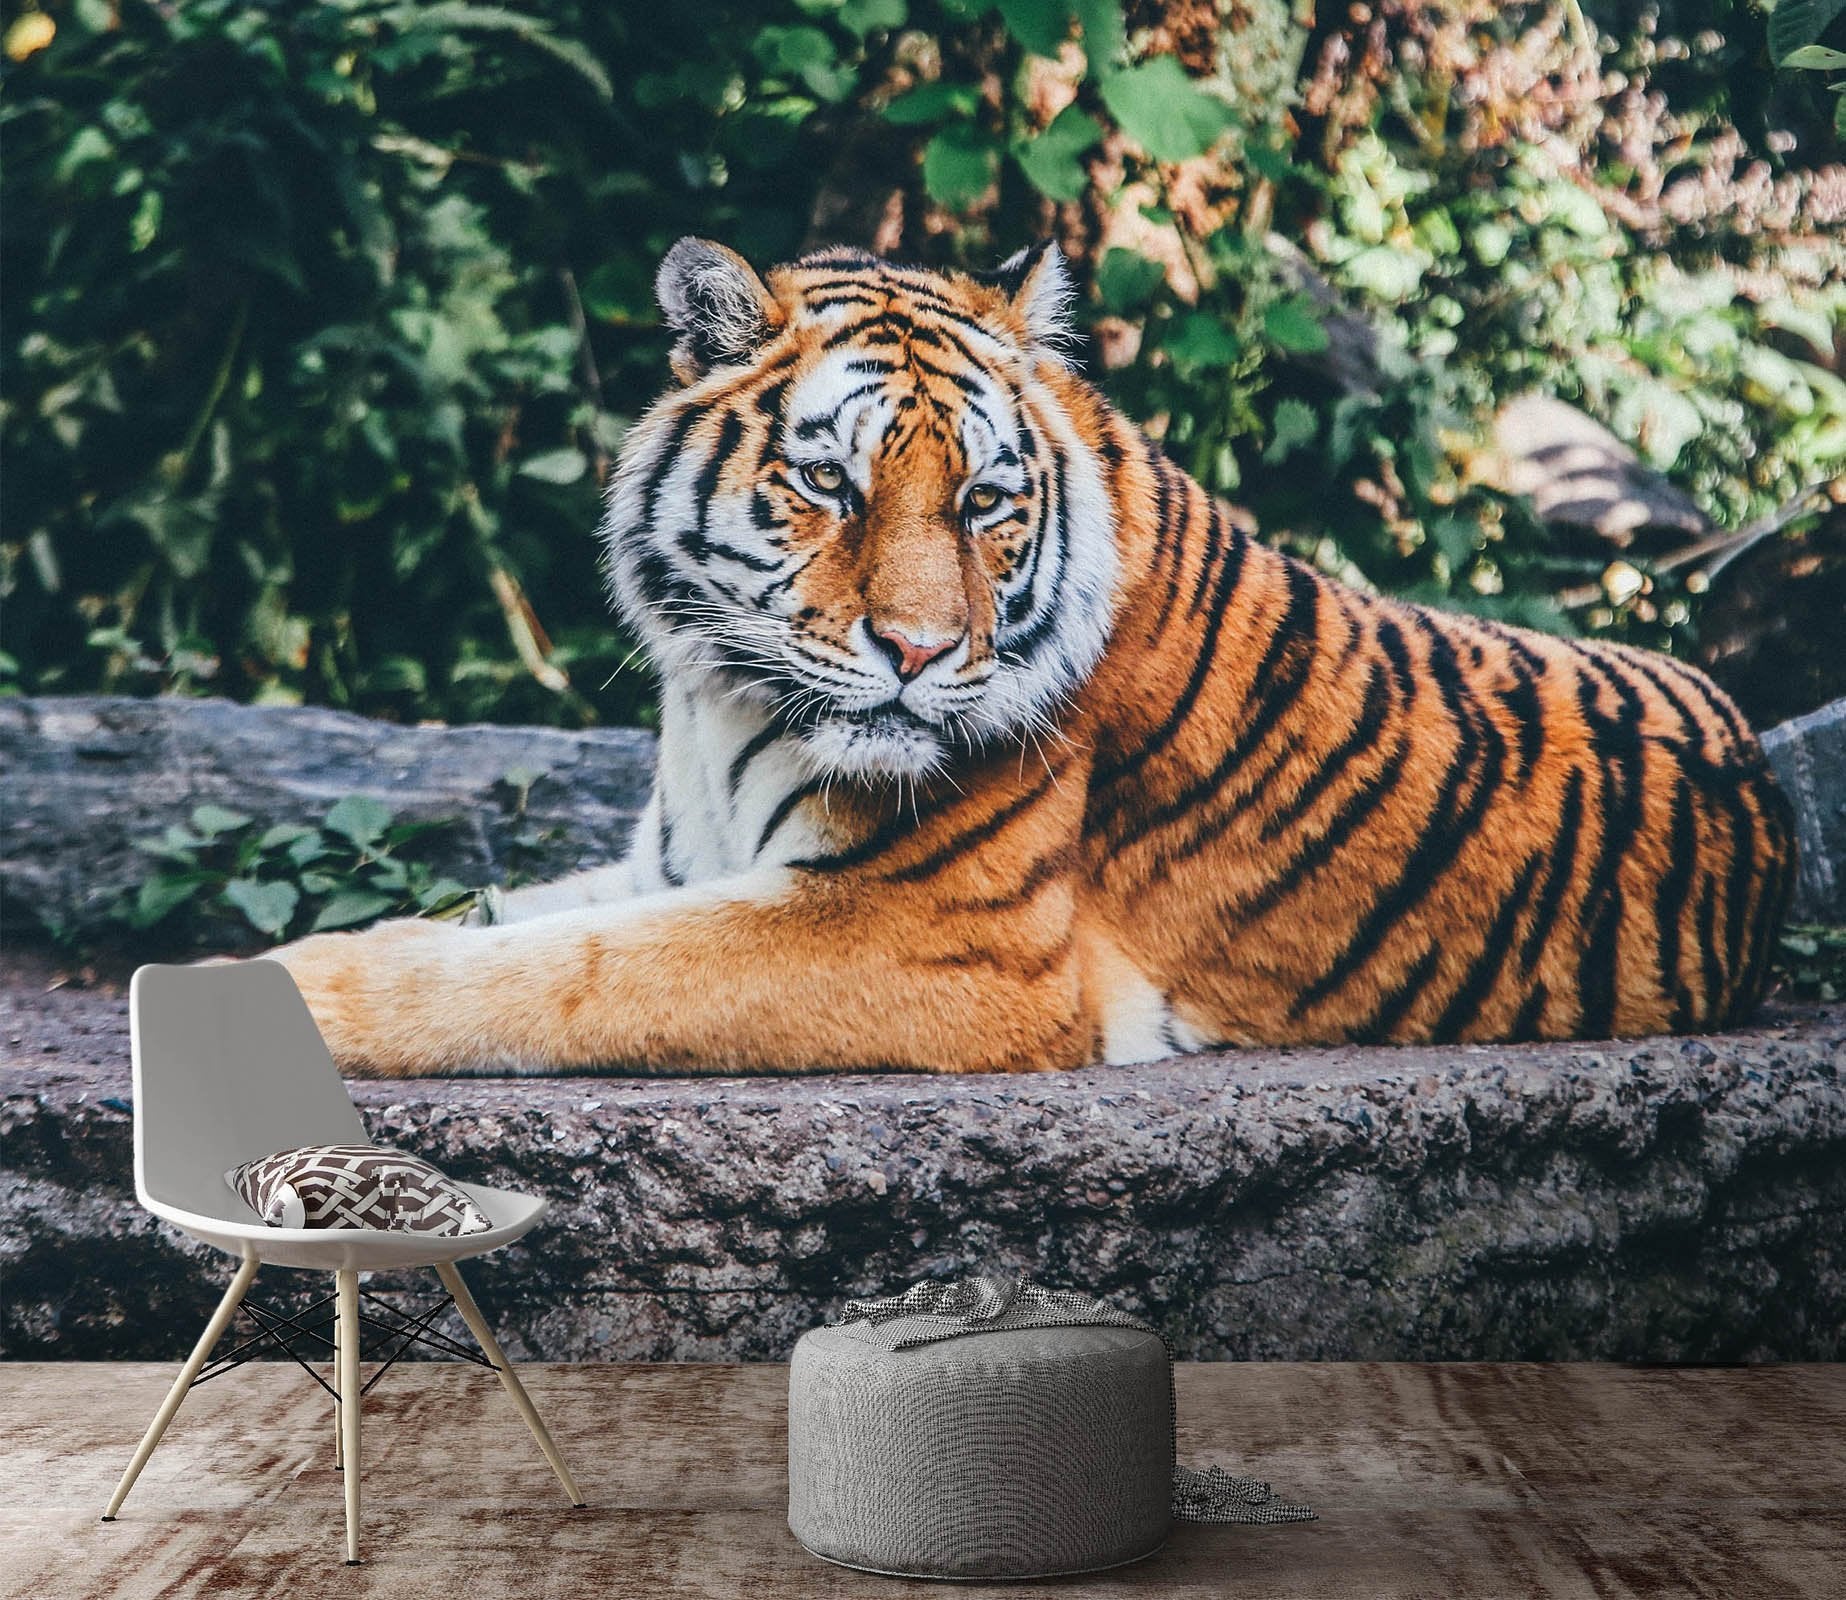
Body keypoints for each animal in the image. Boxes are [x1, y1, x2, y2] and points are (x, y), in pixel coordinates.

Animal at [271, 238, 1796, 1077]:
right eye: (826, 483)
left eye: (985, 502)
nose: (917, 650)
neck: (719, 701)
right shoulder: (673, 864)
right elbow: (512, 921)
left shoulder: (933, 934)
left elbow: (565, 973)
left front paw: (291, 988)